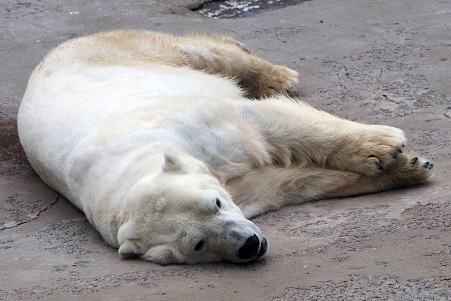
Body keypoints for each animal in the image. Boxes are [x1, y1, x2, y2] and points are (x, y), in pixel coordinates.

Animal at [17, 29, 434, 262]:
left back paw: (278, 77)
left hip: (126, 51)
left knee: (207, 51)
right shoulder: (237, 187)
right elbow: (285, 182)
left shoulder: (194, 124)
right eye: (199, 244)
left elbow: (267, 124)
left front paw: (388, 148)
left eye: (214, 203)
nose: (249, 245)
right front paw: (406, 168)